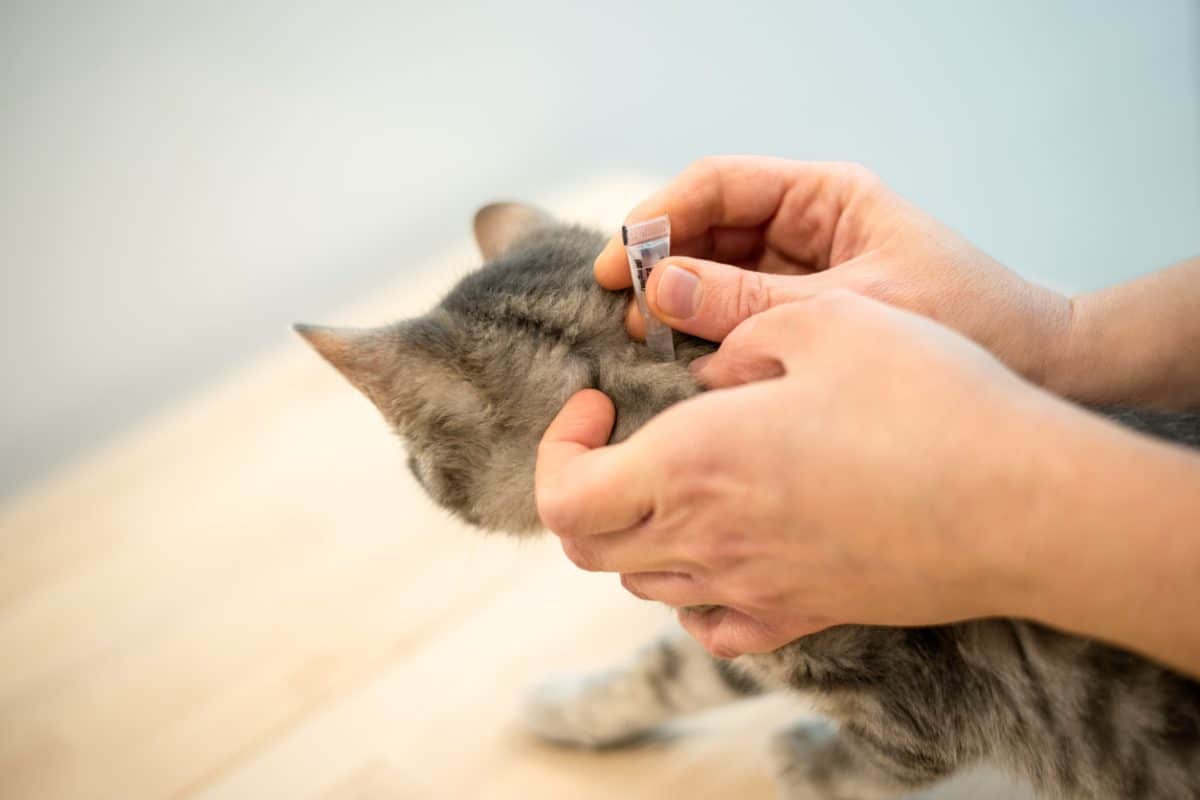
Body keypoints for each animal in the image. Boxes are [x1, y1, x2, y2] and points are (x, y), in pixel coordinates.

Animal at [297, 203, 1200, 796]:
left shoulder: (906, 708)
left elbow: (869, 766)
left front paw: (804, 759)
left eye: (415, 462)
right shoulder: (737, 612)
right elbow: (672, 669)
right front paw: (570, 707)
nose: (413, 474)